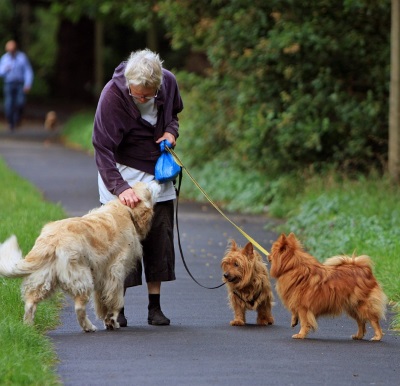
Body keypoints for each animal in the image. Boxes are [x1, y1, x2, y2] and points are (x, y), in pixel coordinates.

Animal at [0, 181, 159, 332]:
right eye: (148, 187)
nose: (157, 180)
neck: (125, 209)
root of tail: (52, 240)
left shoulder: (102, 275)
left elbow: (101, 301)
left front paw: (107, 319)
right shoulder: (115, 272)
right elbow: (116, 300)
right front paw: (113, 320)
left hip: (44, 279)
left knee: (30, 304)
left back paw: (28, 328)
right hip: (82, 278)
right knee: (79, 308)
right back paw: (89, 327)